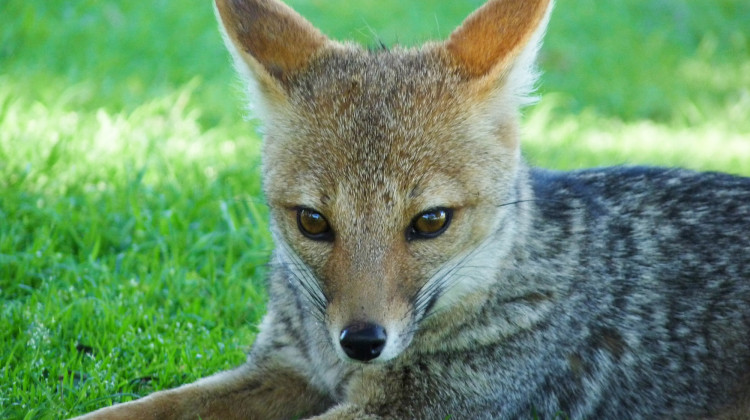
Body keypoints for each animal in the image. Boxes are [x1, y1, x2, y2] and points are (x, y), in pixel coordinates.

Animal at [75, 0, 750, 418]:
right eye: (313, 222)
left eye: (430, 222)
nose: (360, 342)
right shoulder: (289, 370)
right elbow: (135, 410)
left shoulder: (408, 410)